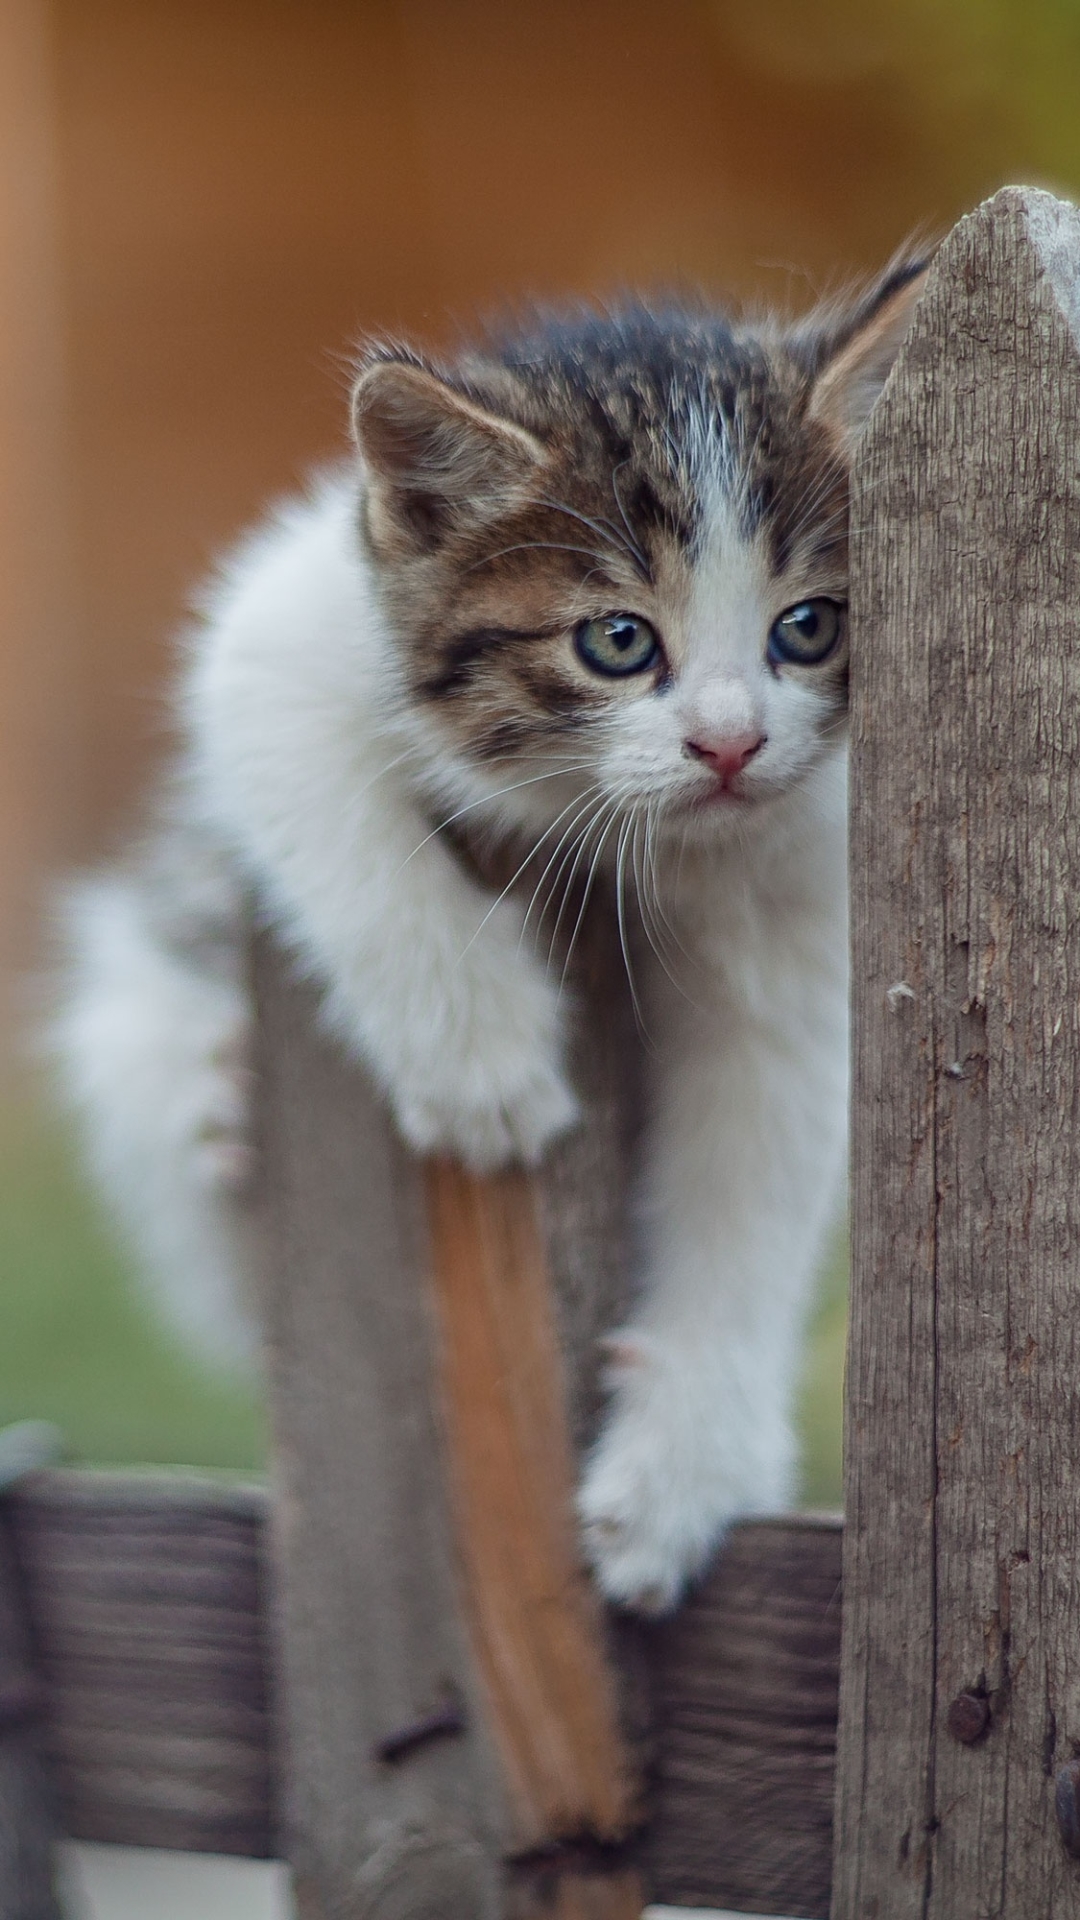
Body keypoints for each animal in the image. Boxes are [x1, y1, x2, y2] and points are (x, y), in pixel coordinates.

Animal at [54, 266, 922, 1605]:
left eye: (811, 626)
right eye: (616, 641)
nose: (731, 745)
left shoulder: (795, 889)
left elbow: (758, 1160)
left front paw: (684, 1462)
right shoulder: (288, 626)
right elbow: (311, 780)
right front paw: (482, 1062)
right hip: (135, 1015)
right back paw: (225, 1105)